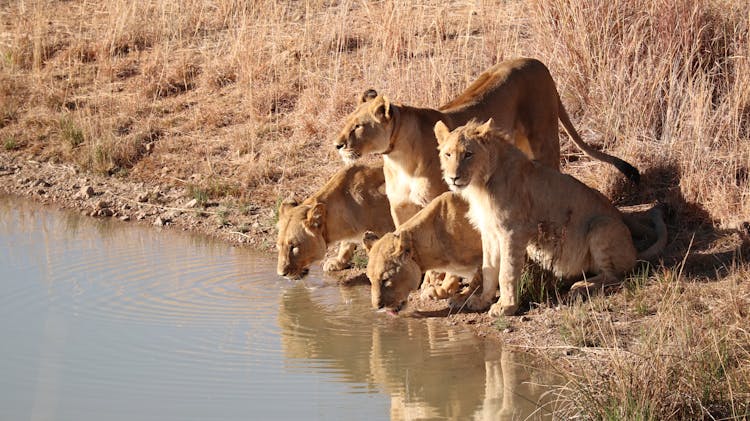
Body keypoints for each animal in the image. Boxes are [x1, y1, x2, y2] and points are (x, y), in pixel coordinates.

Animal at [334, 57, 640, 226]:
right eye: (346, 123)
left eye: (358, 126)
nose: (337, 145)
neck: (398, 158)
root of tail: (535, 60)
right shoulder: (400, 206)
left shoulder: (441, 197)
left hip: (543, 137)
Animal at [438, 118, 668, 316]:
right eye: (448, 155)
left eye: (468, 154)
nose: (453, 178)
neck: (480, 184)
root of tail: (634, 252)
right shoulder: (490, 232)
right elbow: (489, 269)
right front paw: (481, 301)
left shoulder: (513, 231)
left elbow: (506, 272)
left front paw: (506, 306)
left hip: (601, 225)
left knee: (616, 275)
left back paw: (580, 286)